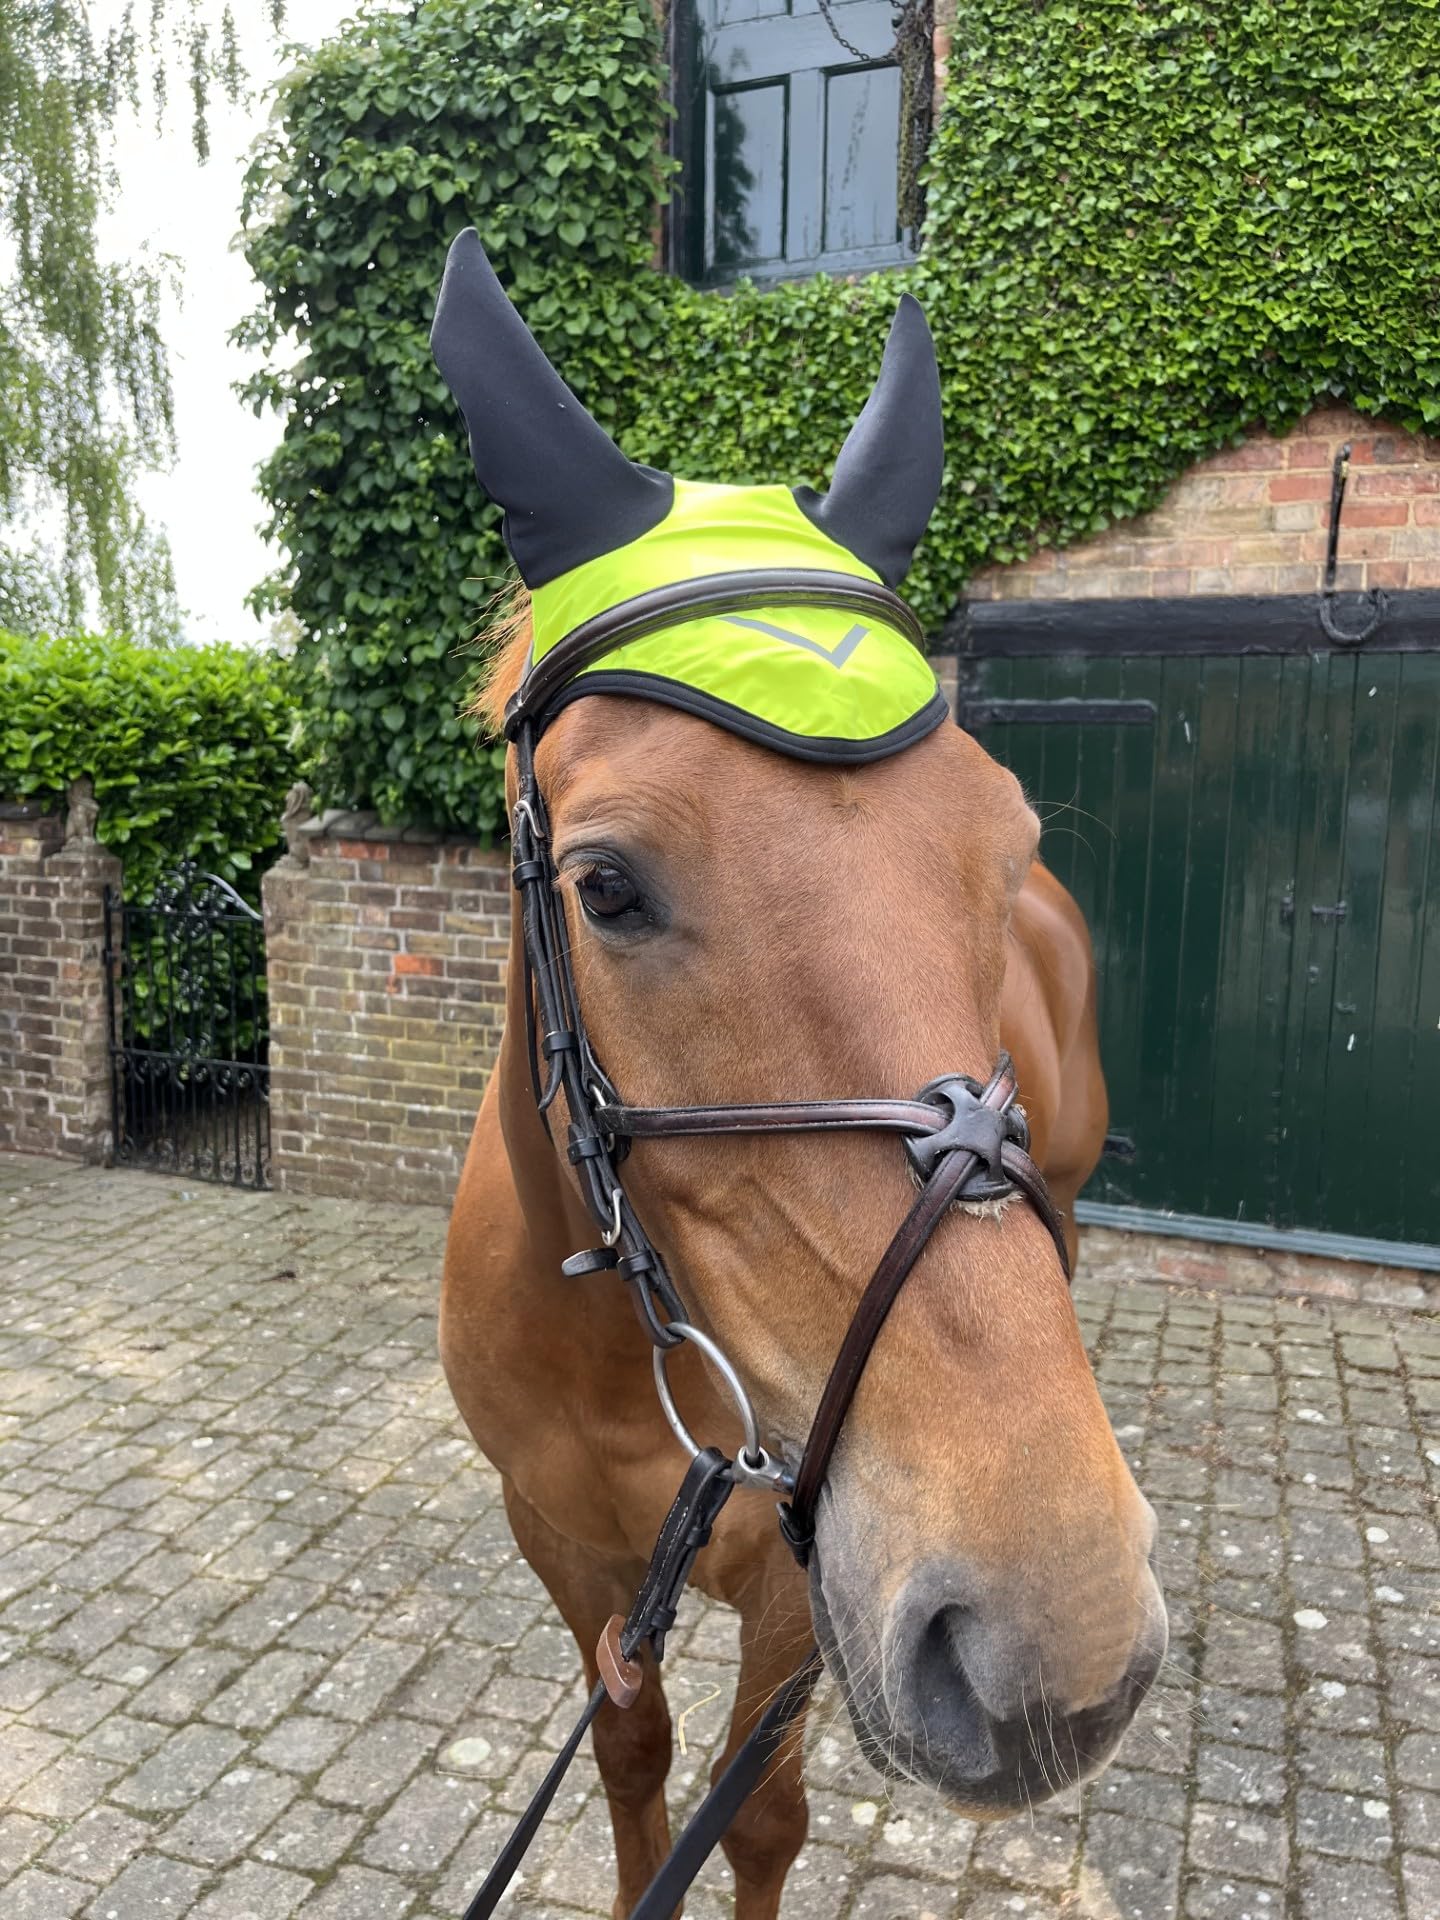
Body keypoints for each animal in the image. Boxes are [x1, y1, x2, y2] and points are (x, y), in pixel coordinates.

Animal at [434, 229, 1167, 1919]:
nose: (1064, 1632)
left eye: (1003, 842)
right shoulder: (564, 1547)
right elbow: (634, 1766)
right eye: (606, 885)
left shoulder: (802, 1580)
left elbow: (755, 1817)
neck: (620, 1348)